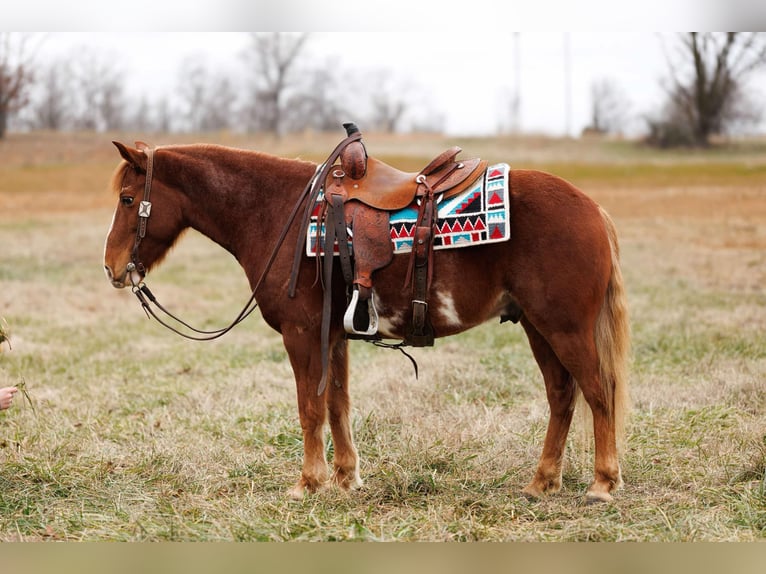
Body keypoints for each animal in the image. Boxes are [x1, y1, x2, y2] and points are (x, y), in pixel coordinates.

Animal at [103, 137, 630, 503]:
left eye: (128, 199)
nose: (111, 267)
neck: (278, 213)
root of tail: (593, 209)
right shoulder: (333, 336)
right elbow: (337, 405)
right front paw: (345, 477)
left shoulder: (301, 335)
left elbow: (309, 408)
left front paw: (307, 483)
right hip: (539, 327)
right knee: (562, 396)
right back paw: (542, 482)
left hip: (565, 328)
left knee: (598, 391)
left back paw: (602, 483)